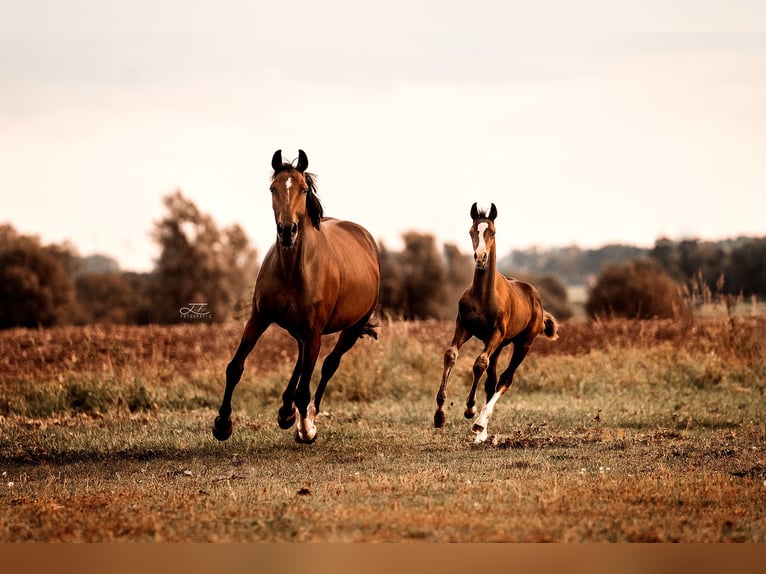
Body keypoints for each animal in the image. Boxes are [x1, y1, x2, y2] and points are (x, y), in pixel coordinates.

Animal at [213, 150, 380, 446]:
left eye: (303, 189)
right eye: (273, 188)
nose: (287, 230)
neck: (292, 270)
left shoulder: (314, 331)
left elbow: (306, 387)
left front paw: (306, 430)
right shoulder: (259, 318)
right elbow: (235, 367)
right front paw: (222, 424)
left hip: (352, 328)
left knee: (328, 365)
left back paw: (306, 415)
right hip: (301, 330)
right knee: (302, 361)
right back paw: (285, 412)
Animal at [436, 204, 560, 446]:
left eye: (492, 232)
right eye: (471, 231)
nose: (480, 257)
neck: (484, 296)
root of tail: (537, 299)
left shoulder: (496, 333)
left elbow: (479, 364)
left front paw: (470, 408)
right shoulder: (463, 326)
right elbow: (451, 355)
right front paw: (440, 414)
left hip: (522, 344)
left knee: (505, 379)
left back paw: (479, 423)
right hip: (500, 345)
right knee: (491, 380)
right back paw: (481, 434)